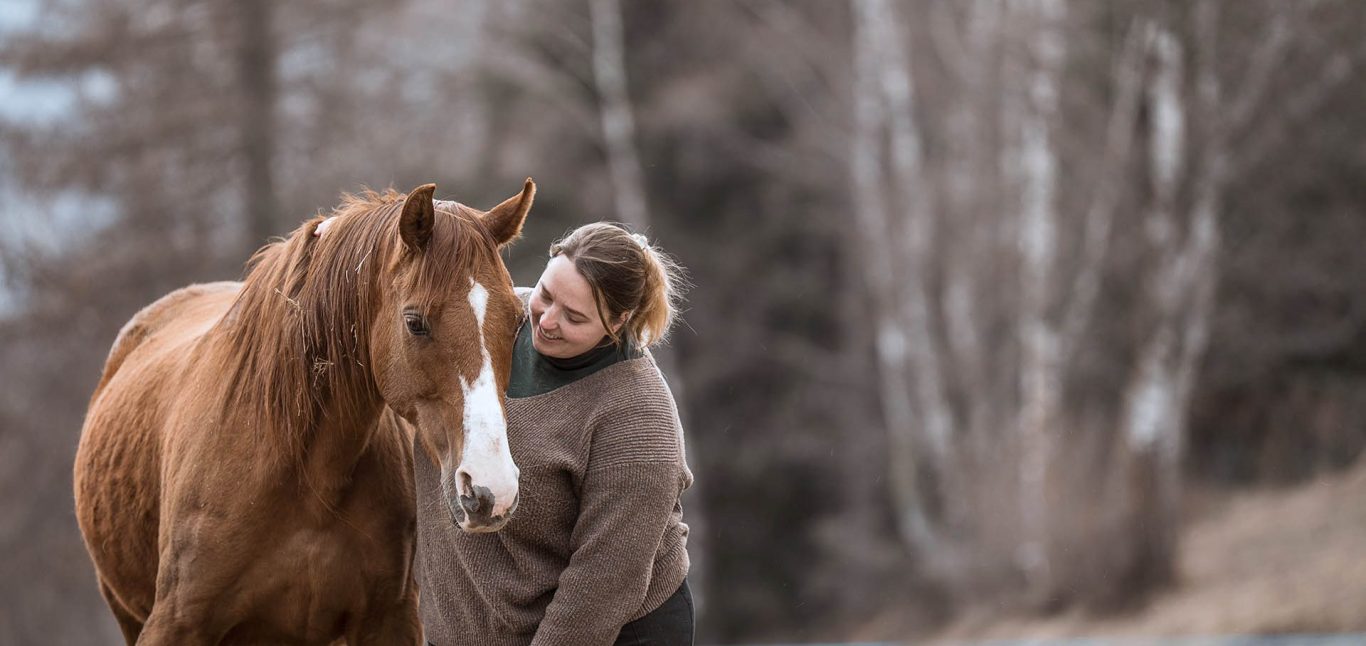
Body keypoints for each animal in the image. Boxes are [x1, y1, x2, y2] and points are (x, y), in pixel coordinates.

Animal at [73, 180, 535, 645]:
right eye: (415, 322)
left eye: (517, 320)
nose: (491, 488)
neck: (303, 471)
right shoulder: (175, 622)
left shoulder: (389, 620)